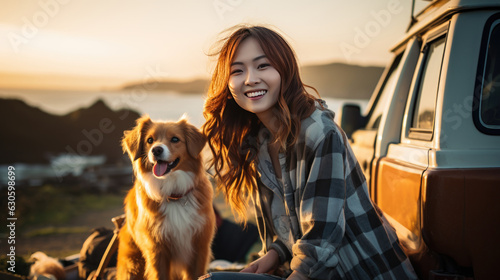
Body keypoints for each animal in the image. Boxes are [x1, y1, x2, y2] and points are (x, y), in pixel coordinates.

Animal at [119, 115, 217, 278]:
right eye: (150, 140)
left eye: (175, 139)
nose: (156, 150)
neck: (173, 193)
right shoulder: (157, 251)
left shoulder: (200, 247)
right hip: (132, 265)